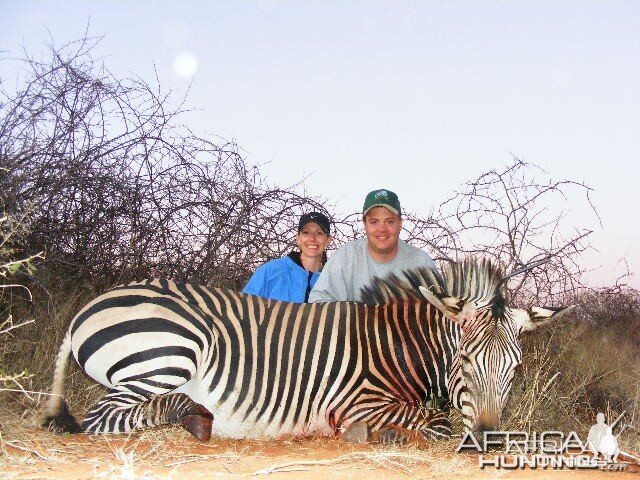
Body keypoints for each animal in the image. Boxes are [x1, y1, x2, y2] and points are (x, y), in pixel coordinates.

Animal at [43, 258, 568, 442]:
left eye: (515, 369)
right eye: (465, 362)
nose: (489, 439)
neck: (396, 347)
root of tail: (88, 308)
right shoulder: (357, 401)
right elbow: (433, 420)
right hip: (173, 353)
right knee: (102, 417)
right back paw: (194, 416)